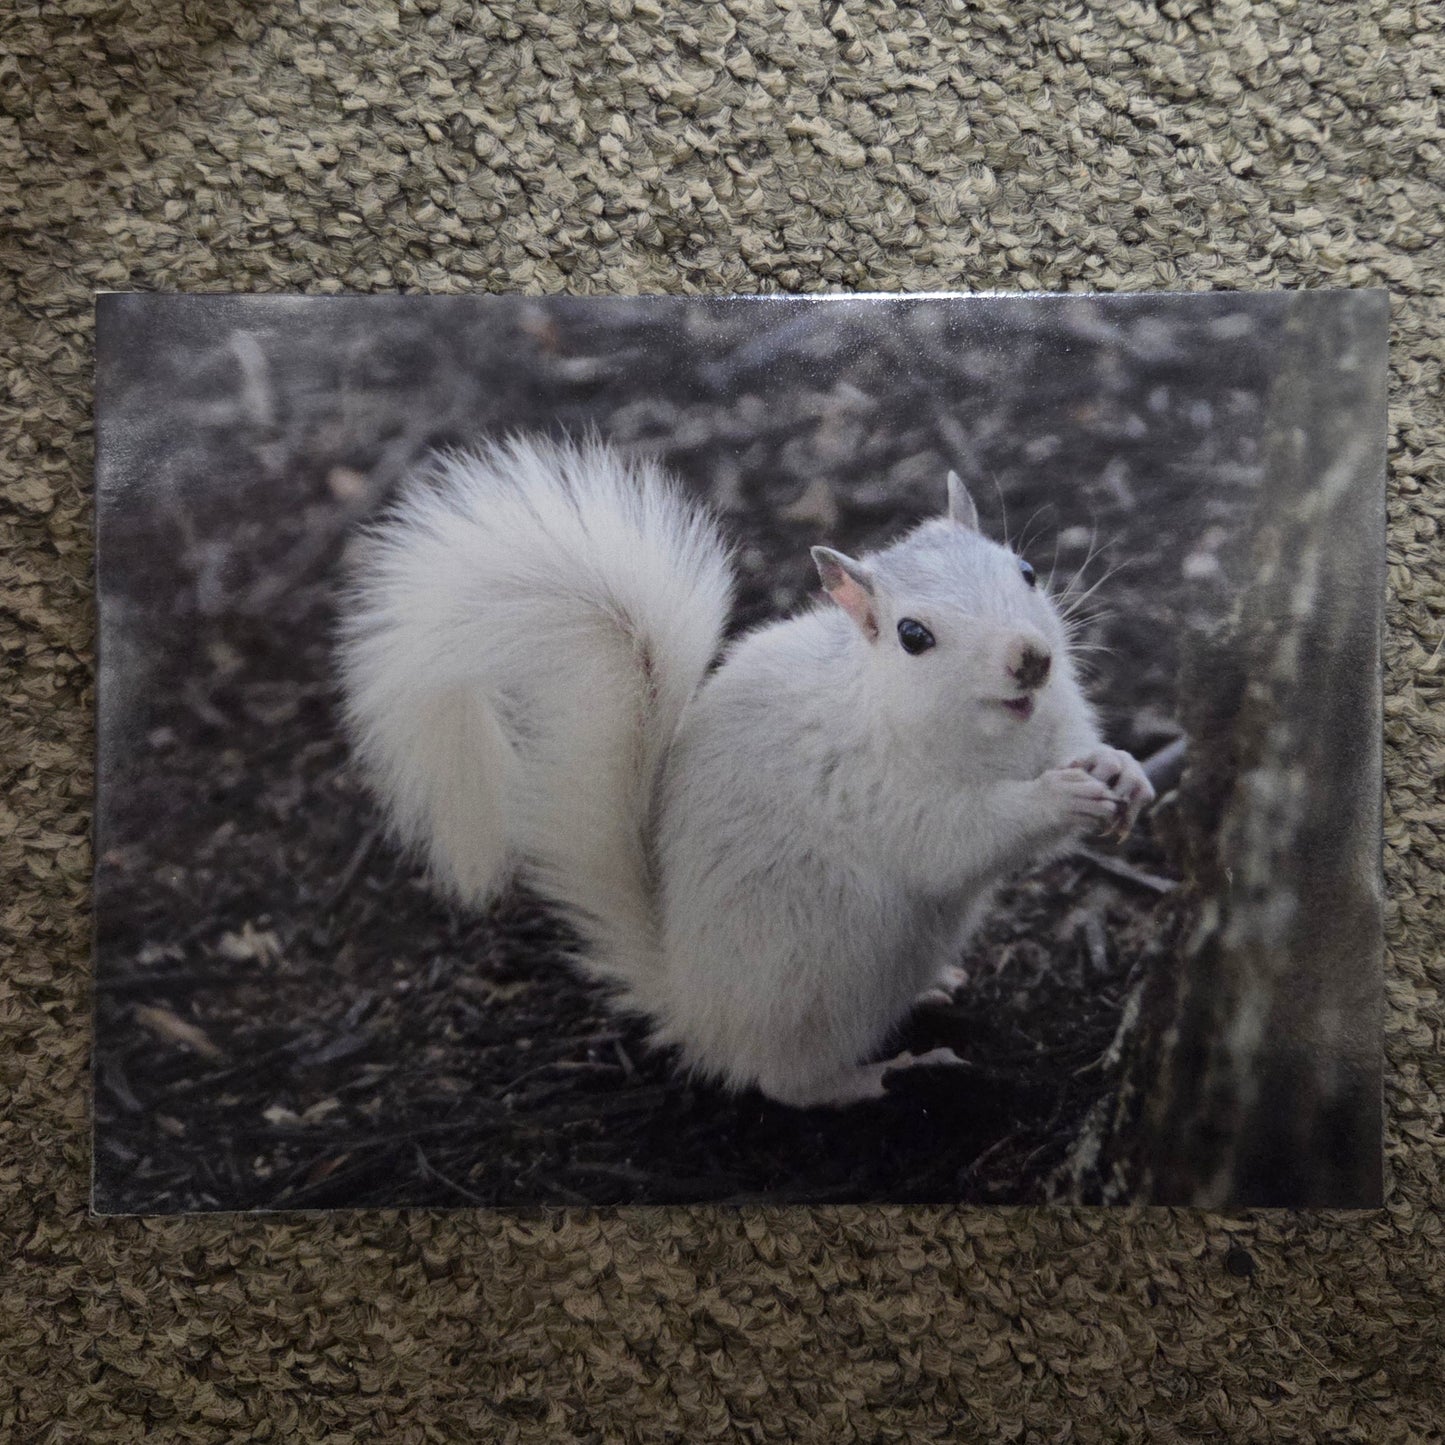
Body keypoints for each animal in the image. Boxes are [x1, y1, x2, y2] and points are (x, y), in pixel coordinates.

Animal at [337, 433, 1154, 1108]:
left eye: (1026, 570)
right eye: (912, 636)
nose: (1030, 658)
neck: (999, 730)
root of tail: (691, 1000)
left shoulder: (1058, 716)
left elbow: (1080, 745)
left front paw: (1119, 770)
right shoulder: (874, 790)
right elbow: (954, 840)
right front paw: (1055, 797)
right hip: (819, 973)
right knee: (782, 1079)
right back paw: (883, 1074)